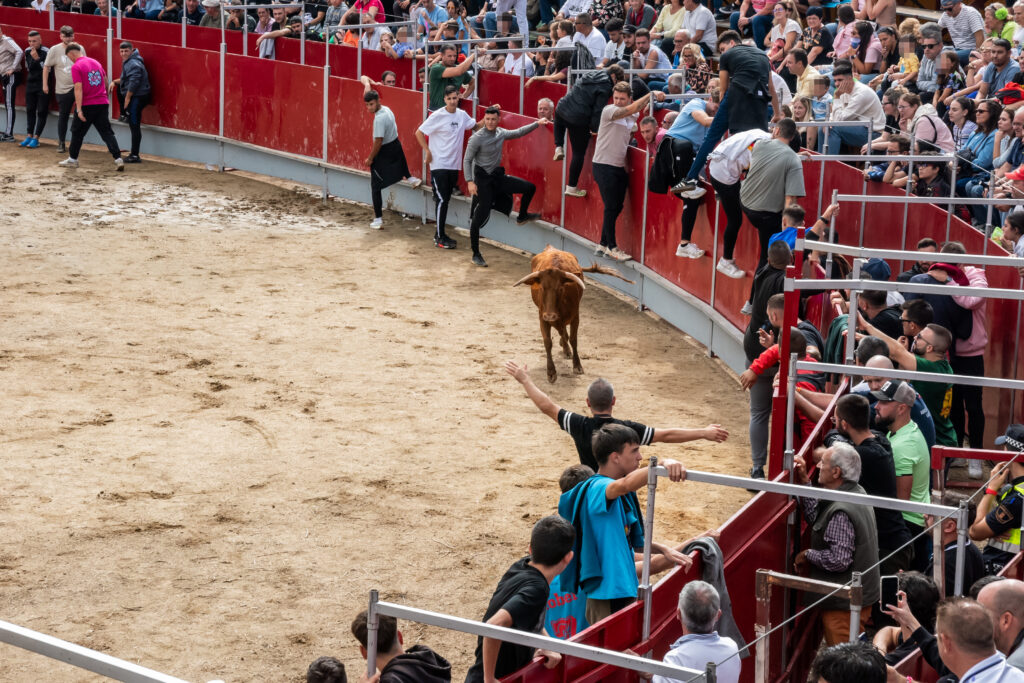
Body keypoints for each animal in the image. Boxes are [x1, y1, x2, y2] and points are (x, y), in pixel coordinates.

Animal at [512, 245, 630, 385]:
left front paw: (577, 366)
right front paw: (551, 372)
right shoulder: (542, 318)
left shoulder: (575, 317)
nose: (550, 316)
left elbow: (574, 340)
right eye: (541, 288)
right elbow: (548, 342)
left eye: (560, 288)